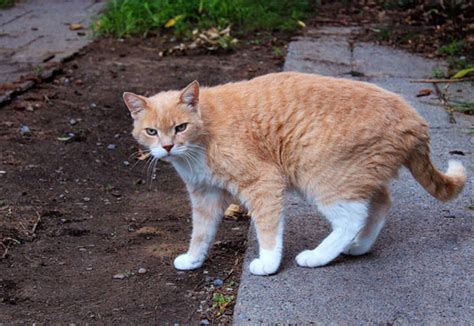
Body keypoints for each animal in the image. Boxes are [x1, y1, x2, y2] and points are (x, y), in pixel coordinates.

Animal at [123, 72, 466, 276]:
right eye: (152, 132)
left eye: (180, 127)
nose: (167, 147)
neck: (202, 138)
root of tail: (414, 118)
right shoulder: (204, 195)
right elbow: (201, 233)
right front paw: (193, 259)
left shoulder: (264, 182)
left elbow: (268, 229)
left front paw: (268, 263)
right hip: (356, 175)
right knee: (380, 203)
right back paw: (359, 246)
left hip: (321, 176)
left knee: (352, 217)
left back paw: (318, 256)